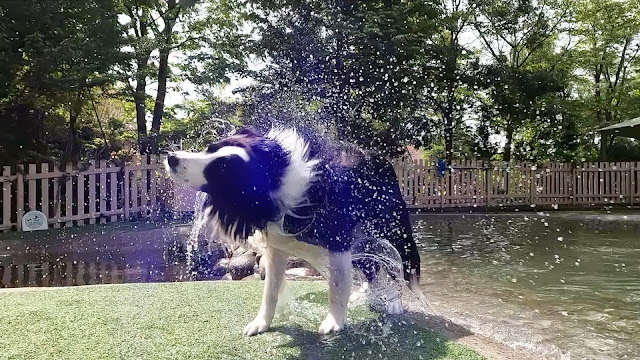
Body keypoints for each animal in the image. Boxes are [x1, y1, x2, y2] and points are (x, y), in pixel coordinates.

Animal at [168, 126, 422, 334]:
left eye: (220, 169)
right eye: (209, 148)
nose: (171, 158)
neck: (276, 182)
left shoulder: (337, 239)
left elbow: (337, 284)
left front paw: (335, 322)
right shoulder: (276, 247)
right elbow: (270, 290)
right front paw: (262, 323)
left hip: (392, 226)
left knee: (400, 261)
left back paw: (394, 301)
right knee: (369, 263)